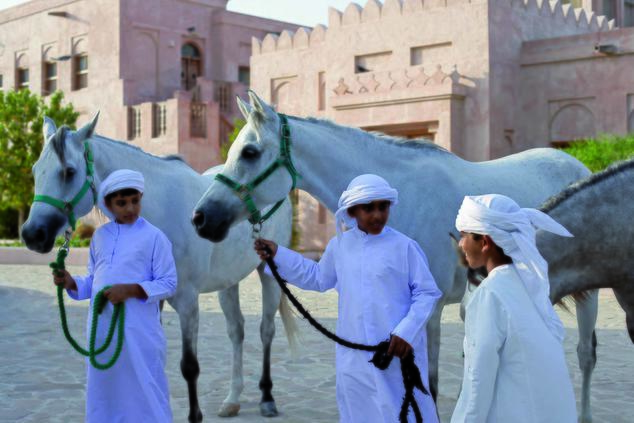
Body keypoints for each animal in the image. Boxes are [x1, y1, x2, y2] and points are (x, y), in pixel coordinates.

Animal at [21, 114, 296, 422]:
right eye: (35, 171)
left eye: (68, 171)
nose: (32, 234)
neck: (160, 211)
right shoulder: (152, 297)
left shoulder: (187, 302)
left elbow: (189, 366)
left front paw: (195, 416)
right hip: (228, 282)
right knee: (237, 331)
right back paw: (232, 400)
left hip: (268, 274)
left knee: (266, 331)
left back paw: (267, 399)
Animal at [191, 92, 596, 420]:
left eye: (250, 152)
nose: (201, 218)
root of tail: (576, 165)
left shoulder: (428, 306)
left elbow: (429, 379)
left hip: (586, 293)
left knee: (585, 354)